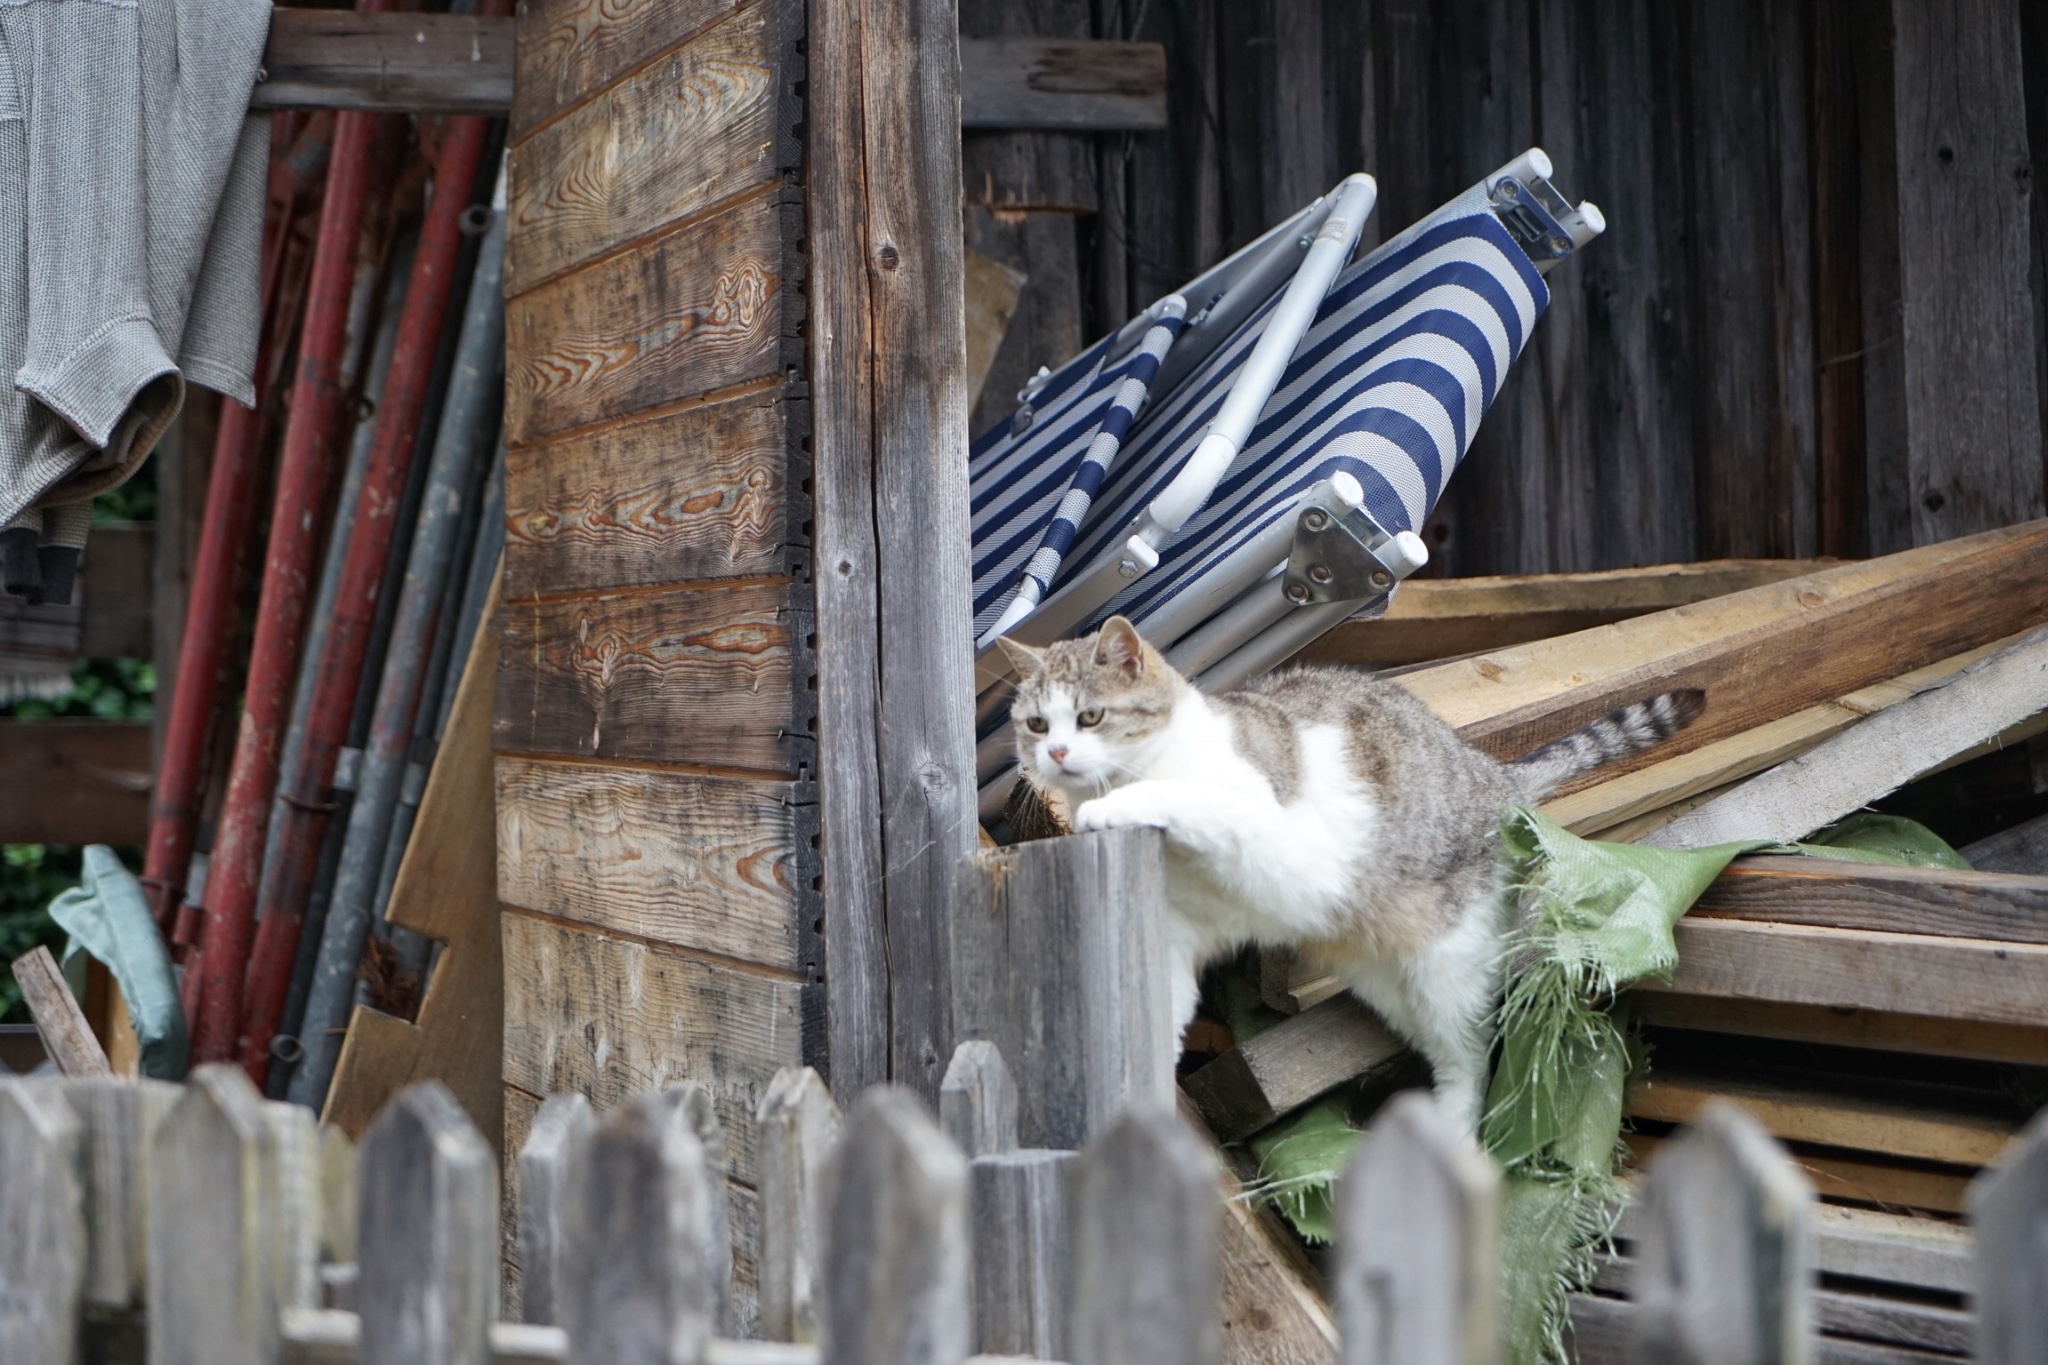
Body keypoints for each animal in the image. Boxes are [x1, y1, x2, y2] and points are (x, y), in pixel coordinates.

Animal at [999, 618, 1703, 1129]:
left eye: (1090, 717)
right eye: (1035, 724)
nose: (1055, 754)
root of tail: (1499, 778)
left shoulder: (1257, 820)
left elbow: (1177, 797)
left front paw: (1112, 808)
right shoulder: (1172, 936)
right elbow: (1161, 1012)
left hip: (1448, 971)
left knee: (1471, 1062)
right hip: (1393, 985)